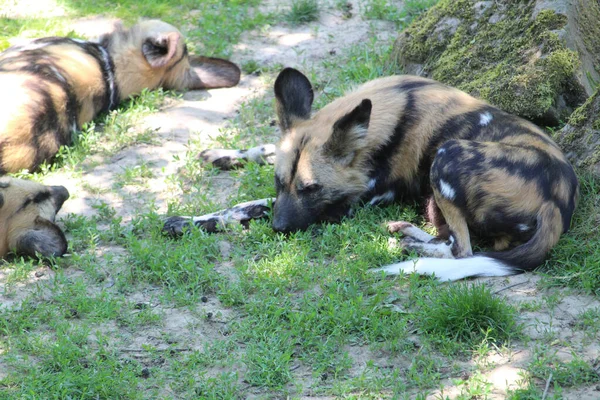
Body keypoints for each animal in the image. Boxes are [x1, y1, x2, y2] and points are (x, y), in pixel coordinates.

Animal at [162, 68, 580, 282]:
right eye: (280, 182)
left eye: (311, 189)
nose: (280, 229)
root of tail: (558, 203)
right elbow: (263, 154)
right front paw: (224, 156)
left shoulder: (346, 205)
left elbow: (249, 206)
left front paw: (197, 220)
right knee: (453, 242)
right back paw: (409, 234)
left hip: (447, 156)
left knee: (463, 250)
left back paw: (413, 247)